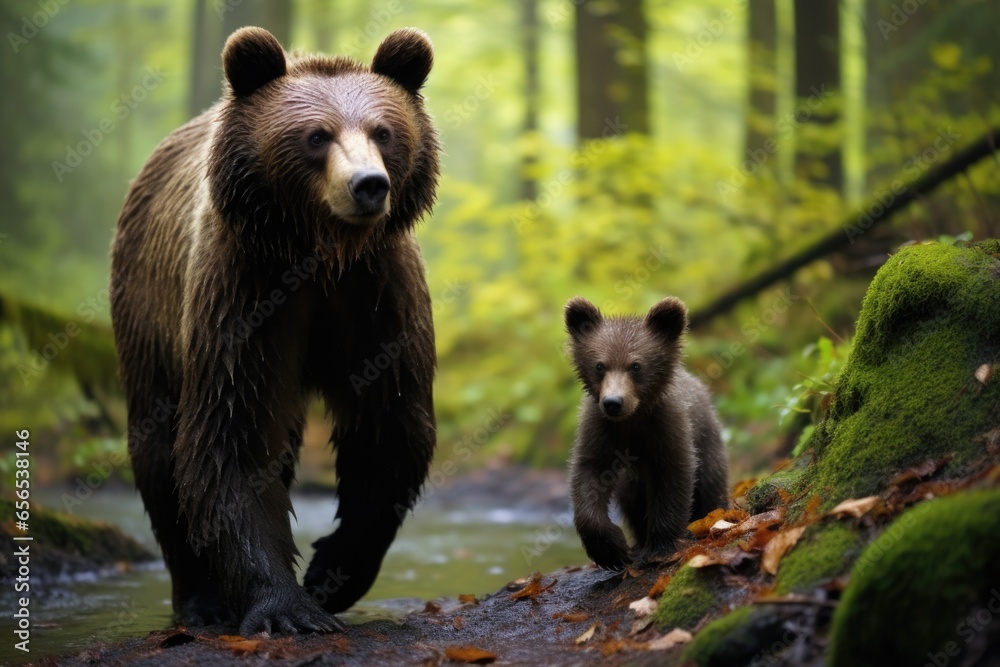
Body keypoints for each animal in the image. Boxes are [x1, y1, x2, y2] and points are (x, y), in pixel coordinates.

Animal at [109, 26, 440, 635]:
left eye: (383, 131)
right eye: (317, 136)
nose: (369, 185)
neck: (319, 252)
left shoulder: (375, 293)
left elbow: (388, 428)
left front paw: (331, 573)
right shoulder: (245, 290)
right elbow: (230, 435)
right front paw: (287, 608)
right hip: (149, 310)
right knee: (158, 448)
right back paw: (199, 598)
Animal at [564, 296, 728, 570]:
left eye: (636, 366)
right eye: (599, 365)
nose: (613, 402)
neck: (633, 419)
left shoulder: (667, 426)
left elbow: (674, 477)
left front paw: (660, 546)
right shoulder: (601, 429)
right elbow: (589, 474)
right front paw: (612, 550)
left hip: (707, 439)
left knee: (710, 482)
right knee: (632, 499)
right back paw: (639, 540)